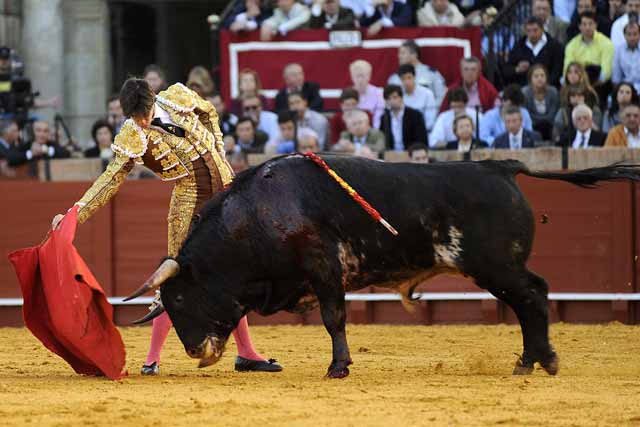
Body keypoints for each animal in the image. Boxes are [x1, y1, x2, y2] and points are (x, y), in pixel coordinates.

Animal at [129, 155, 640, 380]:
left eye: (180, 297)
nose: (196, 352)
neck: (256, 215)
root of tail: (499, 165)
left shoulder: (324, 269)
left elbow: (334, 319)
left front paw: (338, 368)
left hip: (495, 265)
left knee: (533, 294)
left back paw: (540, 361)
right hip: (496, 268)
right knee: (528, 300)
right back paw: (528, 361)